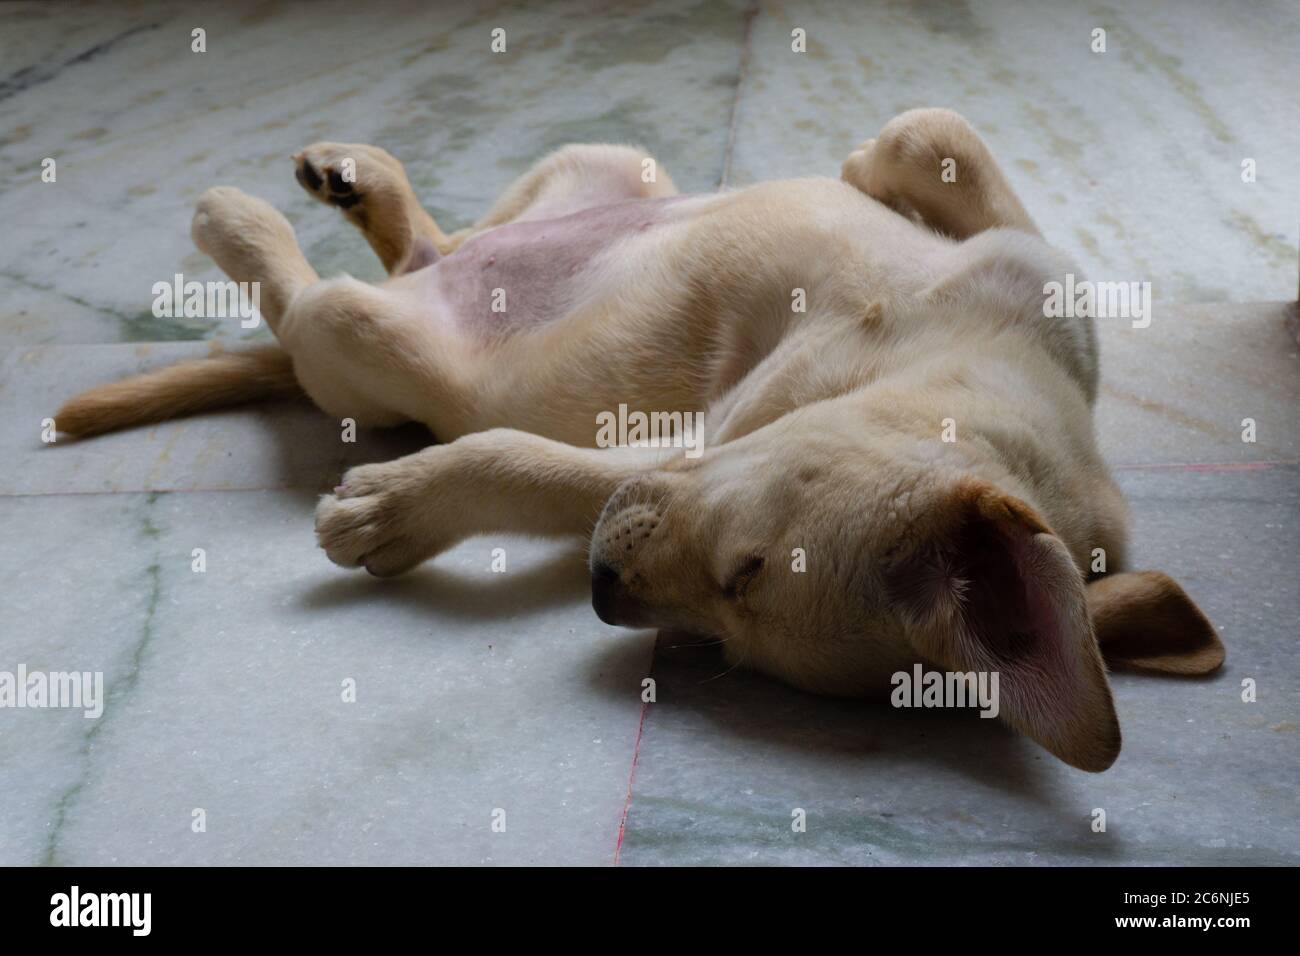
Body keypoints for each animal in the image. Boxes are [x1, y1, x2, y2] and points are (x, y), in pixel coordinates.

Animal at [53, 108, 1227, 775]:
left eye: (734, 623)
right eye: (751, 565)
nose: (601, 589)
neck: (957, 368)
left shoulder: (673, 447)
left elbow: (522, 464)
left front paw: (391, 509)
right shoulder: (1025, 269)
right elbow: (935, 137)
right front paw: (870, 160)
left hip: (368, 343)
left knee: (319, 303)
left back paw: (240, 218)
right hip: (610, 166)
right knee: (441, 240)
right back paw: (354, 177)